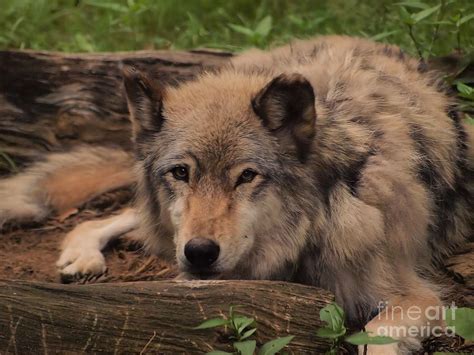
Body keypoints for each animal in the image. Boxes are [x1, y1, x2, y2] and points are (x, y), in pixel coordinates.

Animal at [0, 35, 474, 354]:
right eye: (181, 172)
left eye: (246, 176)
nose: (199, 252)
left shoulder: (417, 296)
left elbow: (375, 335)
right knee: (108, 218)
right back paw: (80, 255)